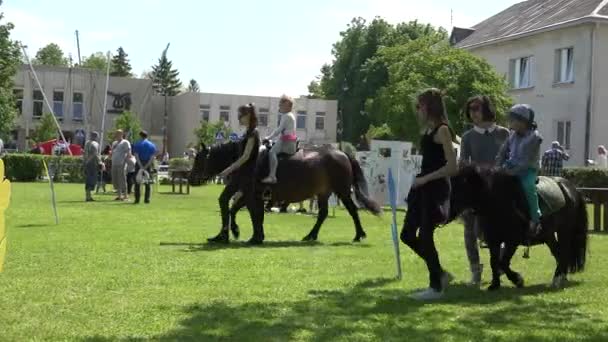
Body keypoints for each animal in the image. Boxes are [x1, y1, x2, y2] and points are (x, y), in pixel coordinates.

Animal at [448, 167, 588, 290]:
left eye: (458, 188)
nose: (446, 214)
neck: (498, 200)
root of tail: (570, 188)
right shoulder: (494, 241)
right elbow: (494, 262)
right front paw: (495, 285)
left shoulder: (512, 241)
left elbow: (502, 262)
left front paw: (518, 280)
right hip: (549, 235)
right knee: (558, 254)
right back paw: (560, 278)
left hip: (564, 231)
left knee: (564, 253)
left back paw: (557, 280)